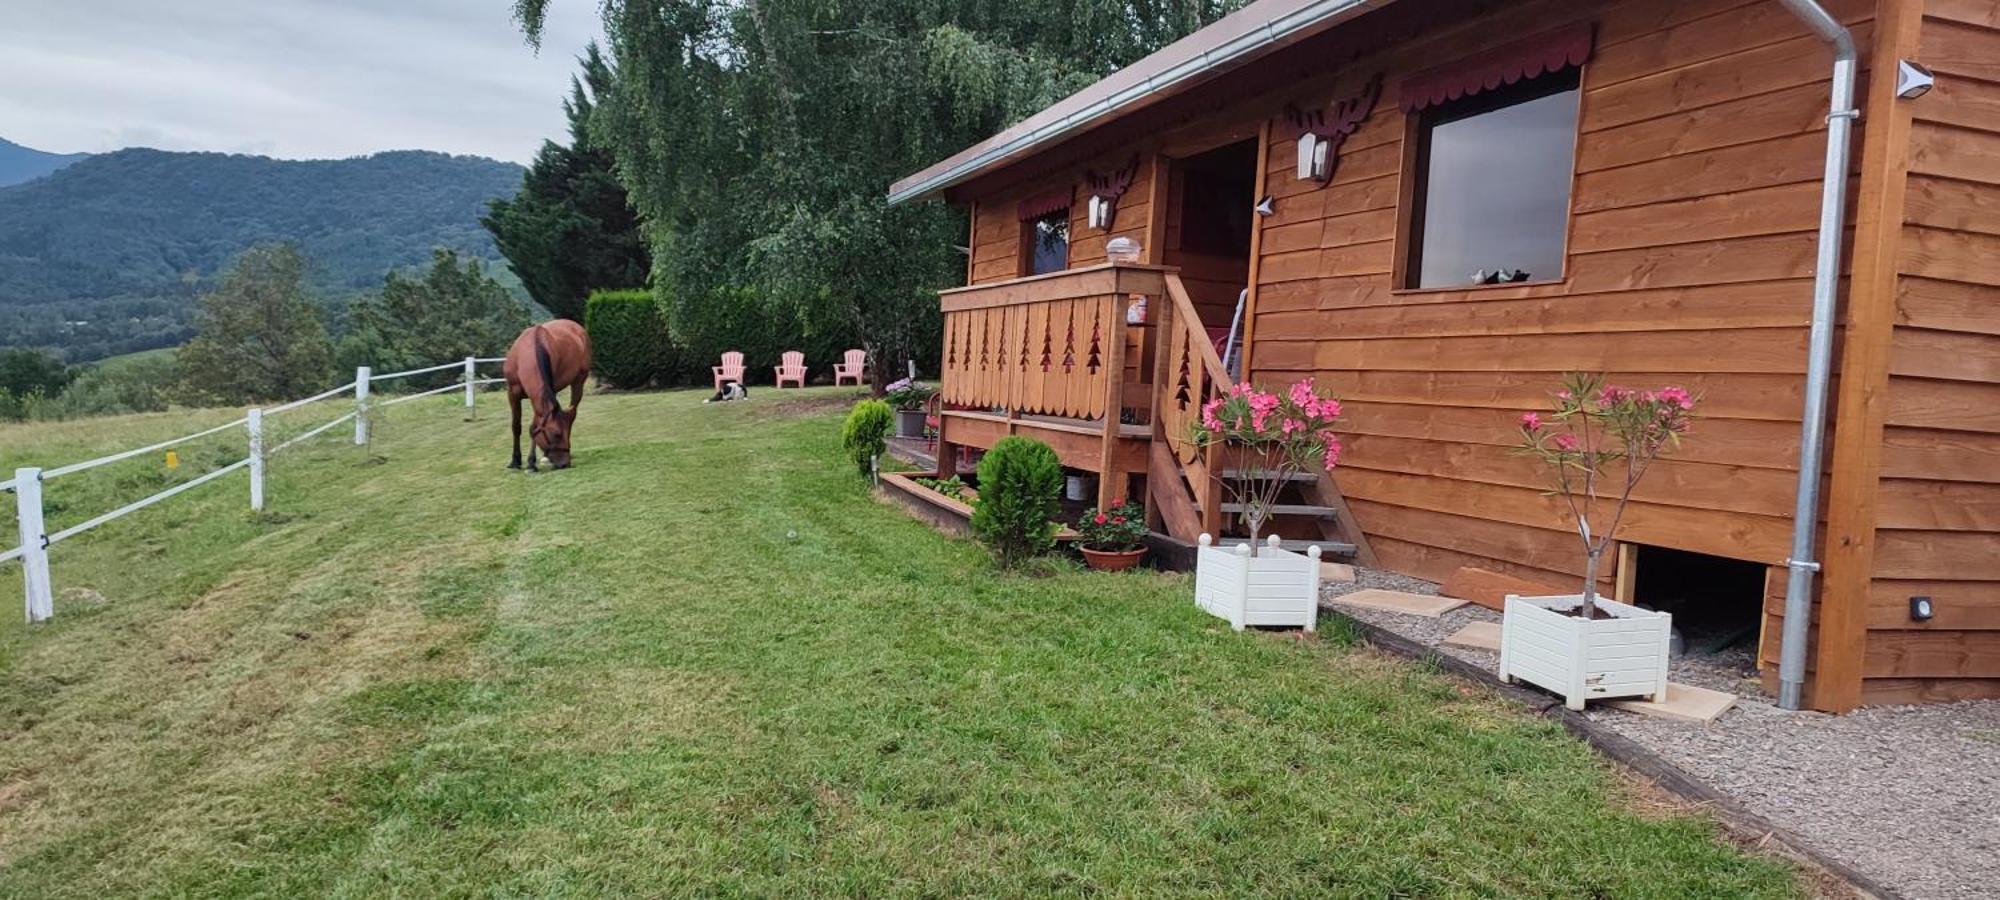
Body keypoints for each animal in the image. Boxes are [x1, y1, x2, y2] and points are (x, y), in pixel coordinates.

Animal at [504, 320, 588, 472]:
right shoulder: (512, 393)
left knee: (572, 415)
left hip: (579, 381)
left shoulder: (539, 396)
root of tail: (576, 326)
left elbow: (534, 427)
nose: (565, 464)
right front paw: (515, 461)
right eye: (556, 434)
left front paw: (531, 463)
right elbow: (516, 426)